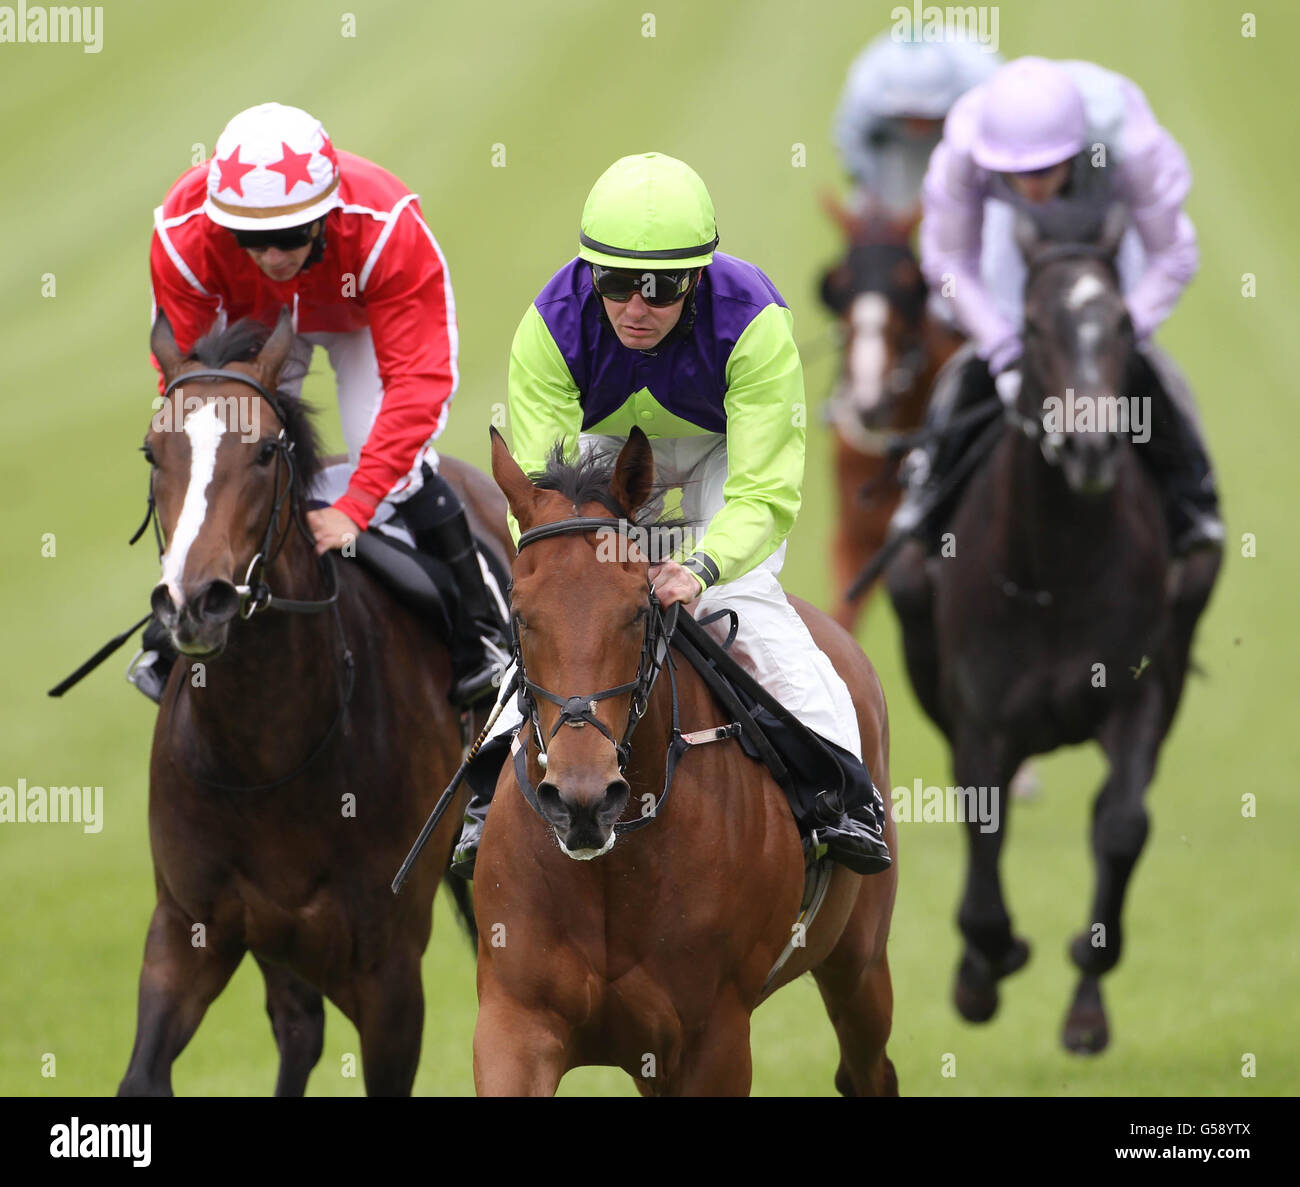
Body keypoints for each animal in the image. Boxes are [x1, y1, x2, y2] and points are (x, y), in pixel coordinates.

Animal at [116, 312, 509, 1092]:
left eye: (267, 450)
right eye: (152, 450)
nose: (195, 602)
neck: (267, 755)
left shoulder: (390, 973)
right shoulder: (187, 929)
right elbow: (143, 1077)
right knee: (299, 1031)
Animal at [470, 426, 904, 1092]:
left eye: (637, 608)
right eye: (519, 610)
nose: (582, 802)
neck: (612, 869)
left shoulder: (713, 1038)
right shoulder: (515, 1020)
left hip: (859, 961)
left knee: (869, 1067)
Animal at [889, 208, 1222, 1050]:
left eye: (1124, 322)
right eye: (1035, 325)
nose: (1091, 443)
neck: (1060, 568)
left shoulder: (1139, 695)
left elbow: (1122, 825)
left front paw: (1084, 985)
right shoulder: (981, 719)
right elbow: (983, 835)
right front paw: (984, 966)